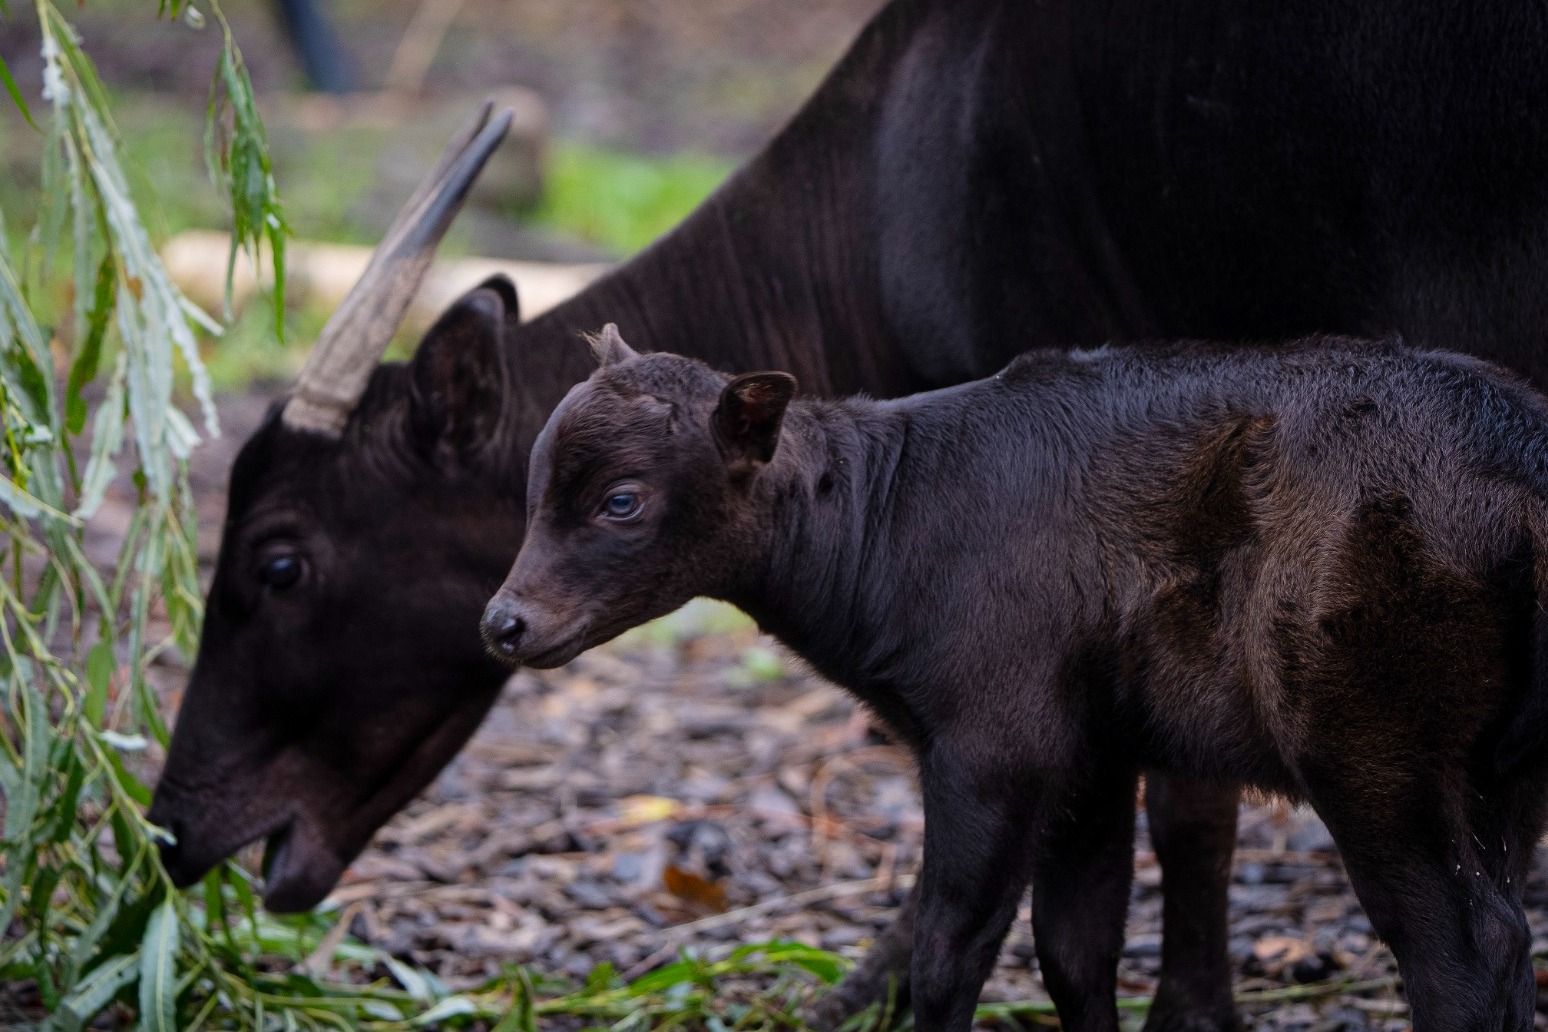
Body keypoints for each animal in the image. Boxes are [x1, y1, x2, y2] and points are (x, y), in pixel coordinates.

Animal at [489, 331, 1548, 1032]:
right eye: (534, 489)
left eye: (622, 501)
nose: (503, 622)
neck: (888, 519)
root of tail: (1520, 457)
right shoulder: (1092, 755)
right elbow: (1074, 949)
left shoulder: (994, 742)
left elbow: (949, 952)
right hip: (1497, 776)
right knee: (1507, 940)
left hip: (1370, 741)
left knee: (1459, 954)